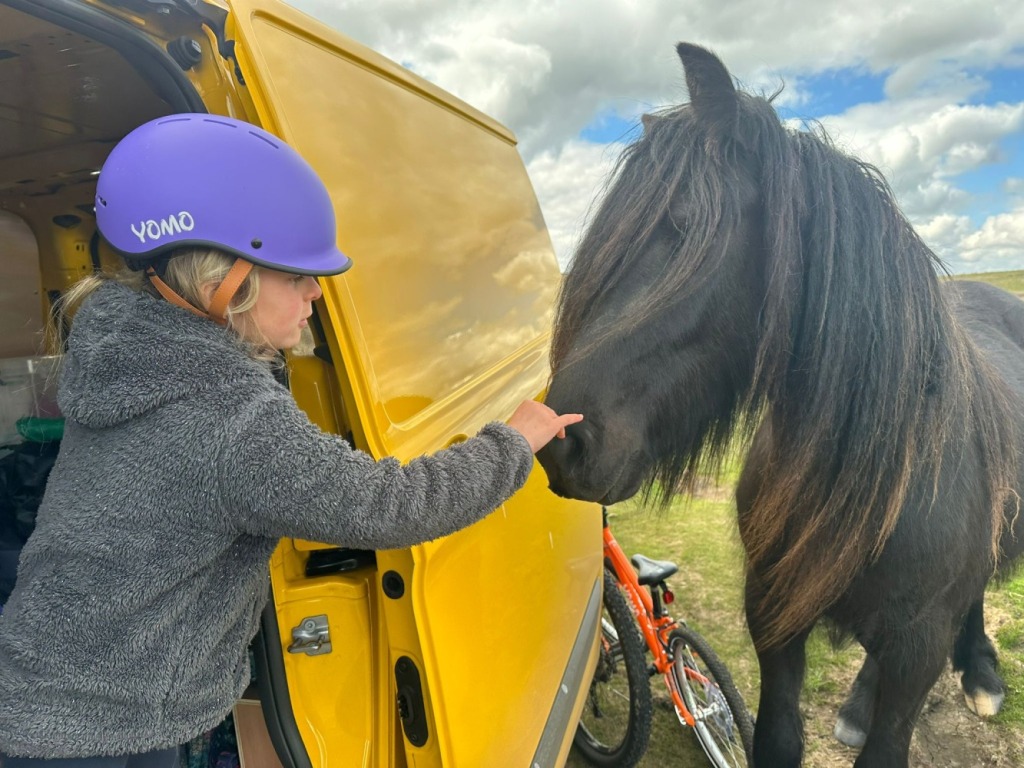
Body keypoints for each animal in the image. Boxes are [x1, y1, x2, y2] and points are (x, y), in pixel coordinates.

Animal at [536, 43, 1024, 768]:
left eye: (684, 225)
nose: (562, 441)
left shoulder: (916, 649)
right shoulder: (773, 616)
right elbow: (777, 738)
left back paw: (982, 673)